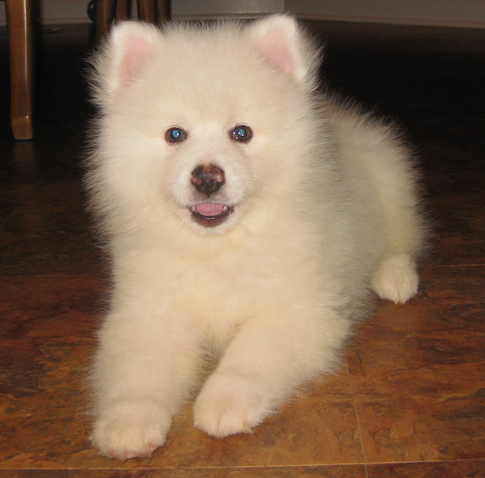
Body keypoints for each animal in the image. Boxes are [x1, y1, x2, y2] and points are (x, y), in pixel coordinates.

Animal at [85, 14, 426, 462]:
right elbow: (137, 372)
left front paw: (223, 402)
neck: (218, 248)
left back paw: (395, 278)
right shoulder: (151, 311)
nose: (207, 176)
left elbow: (248, 358)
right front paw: (128, 422)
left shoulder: (296, 310)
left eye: (241, 133)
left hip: (390, 179)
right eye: (175, 135)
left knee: (403, 239)